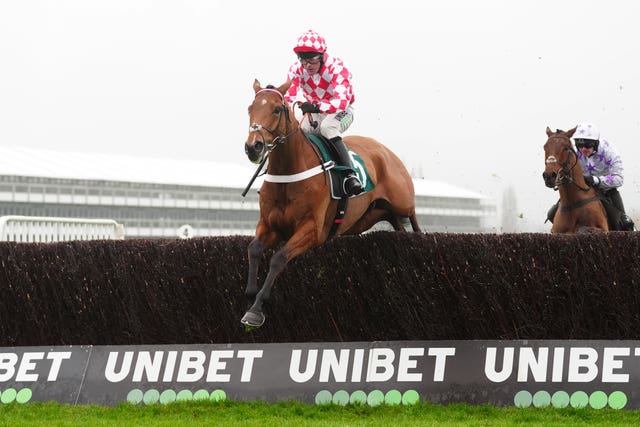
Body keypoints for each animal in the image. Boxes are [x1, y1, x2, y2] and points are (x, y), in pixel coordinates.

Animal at [240, 80, 420, 328]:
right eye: (250, 108)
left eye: (276, 109)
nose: (253, 147)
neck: (290, 172)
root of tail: (385, 151)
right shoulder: (269, 225)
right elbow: (254, 249)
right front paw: (250, 297)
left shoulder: (312, 230)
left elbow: (278, 259)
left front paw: (256, 308)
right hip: (369, 216)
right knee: (396, 222)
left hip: (402, 201)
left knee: (412, 215)